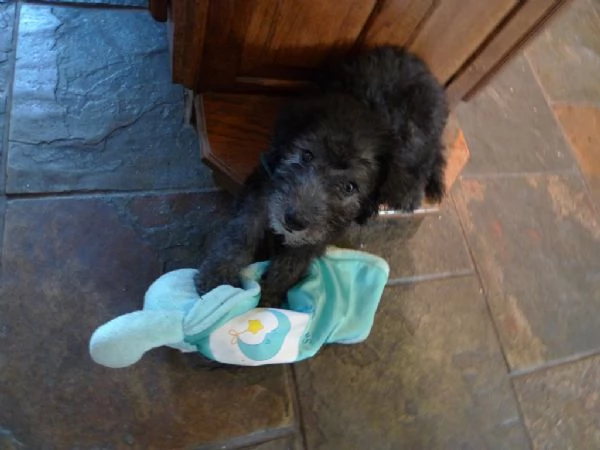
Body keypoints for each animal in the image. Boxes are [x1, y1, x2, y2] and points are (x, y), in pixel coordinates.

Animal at [195, 45, 448, 306]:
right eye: (306, 155)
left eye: (350, 187)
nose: (293, 221)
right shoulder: (266, 181)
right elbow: (242, 229)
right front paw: (218, 279)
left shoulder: (329, 224)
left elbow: (294, 260)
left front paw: (270, 297)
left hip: (418, 135)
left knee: (426, 158)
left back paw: (411, 192)